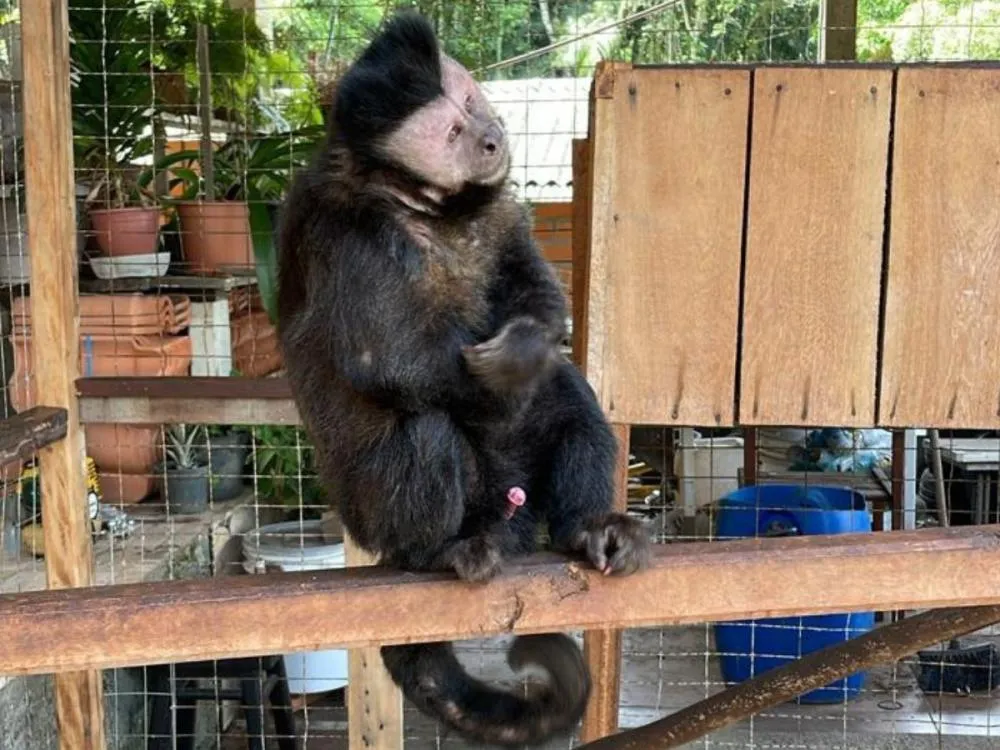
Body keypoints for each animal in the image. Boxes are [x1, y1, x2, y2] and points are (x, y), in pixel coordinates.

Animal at [275, 12, 651, 747]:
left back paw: (589, 530)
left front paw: (528, 347)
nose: (491, 137)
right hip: (387, 519)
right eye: (450, 132)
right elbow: (384, 358)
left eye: (473, 102)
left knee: (568, 403)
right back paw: (438, 552)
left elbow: (535, 291)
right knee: (427, 430)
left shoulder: (500, 206)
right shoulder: (345, 225)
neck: (426, 205)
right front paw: (504, 374)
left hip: (523, 499)